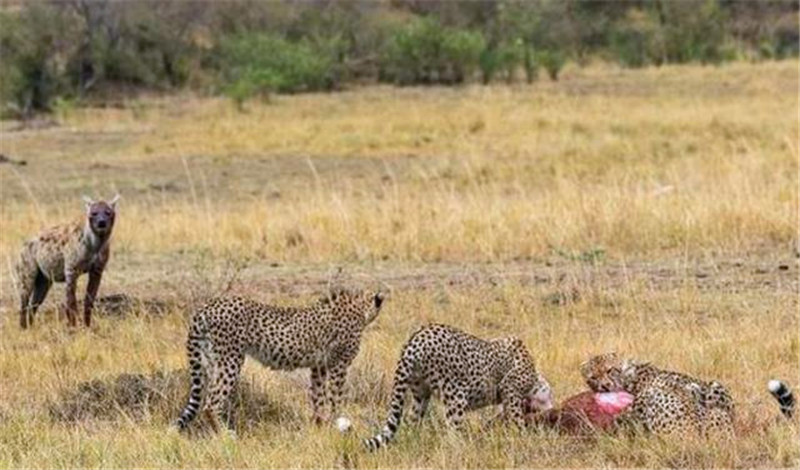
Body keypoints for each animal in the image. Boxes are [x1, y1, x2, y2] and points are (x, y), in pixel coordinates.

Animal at [15, 194, 119, 326]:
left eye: (108, 212)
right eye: (94, 213)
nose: (101, 222)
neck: (95, 245)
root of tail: (25, 243)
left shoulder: (97, 270)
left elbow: (89, 299)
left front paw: (87, 325)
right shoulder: (71, 270)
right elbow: (71, 301)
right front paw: (73, 326)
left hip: (44, 280)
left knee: (34, 303)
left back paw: (31, 326)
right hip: (28, 270)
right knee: (24, 301)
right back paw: (23, 327)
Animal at [176, 286, 388, 434]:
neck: (360, 309)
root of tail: (207, 305)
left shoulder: (319, 366)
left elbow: (319, 398)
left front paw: (320, 426)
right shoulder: (338, 364)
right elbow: (335, 397)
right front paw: (338, 423)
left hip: (210, 361)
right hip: (230, 360)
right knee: (211, 402)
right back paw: (226, 434)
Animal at [360, 324, 552, 452]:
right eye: (549, 395)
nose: (552, 406)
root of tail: (417, 336)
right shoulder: (510, 389)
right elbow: (517, 418)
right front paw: (525, 437)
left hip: (421, 394)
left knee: (411, 422)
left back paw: (413, 443)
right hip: (456, 397)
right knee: (453, 432)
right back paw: (463, 449)